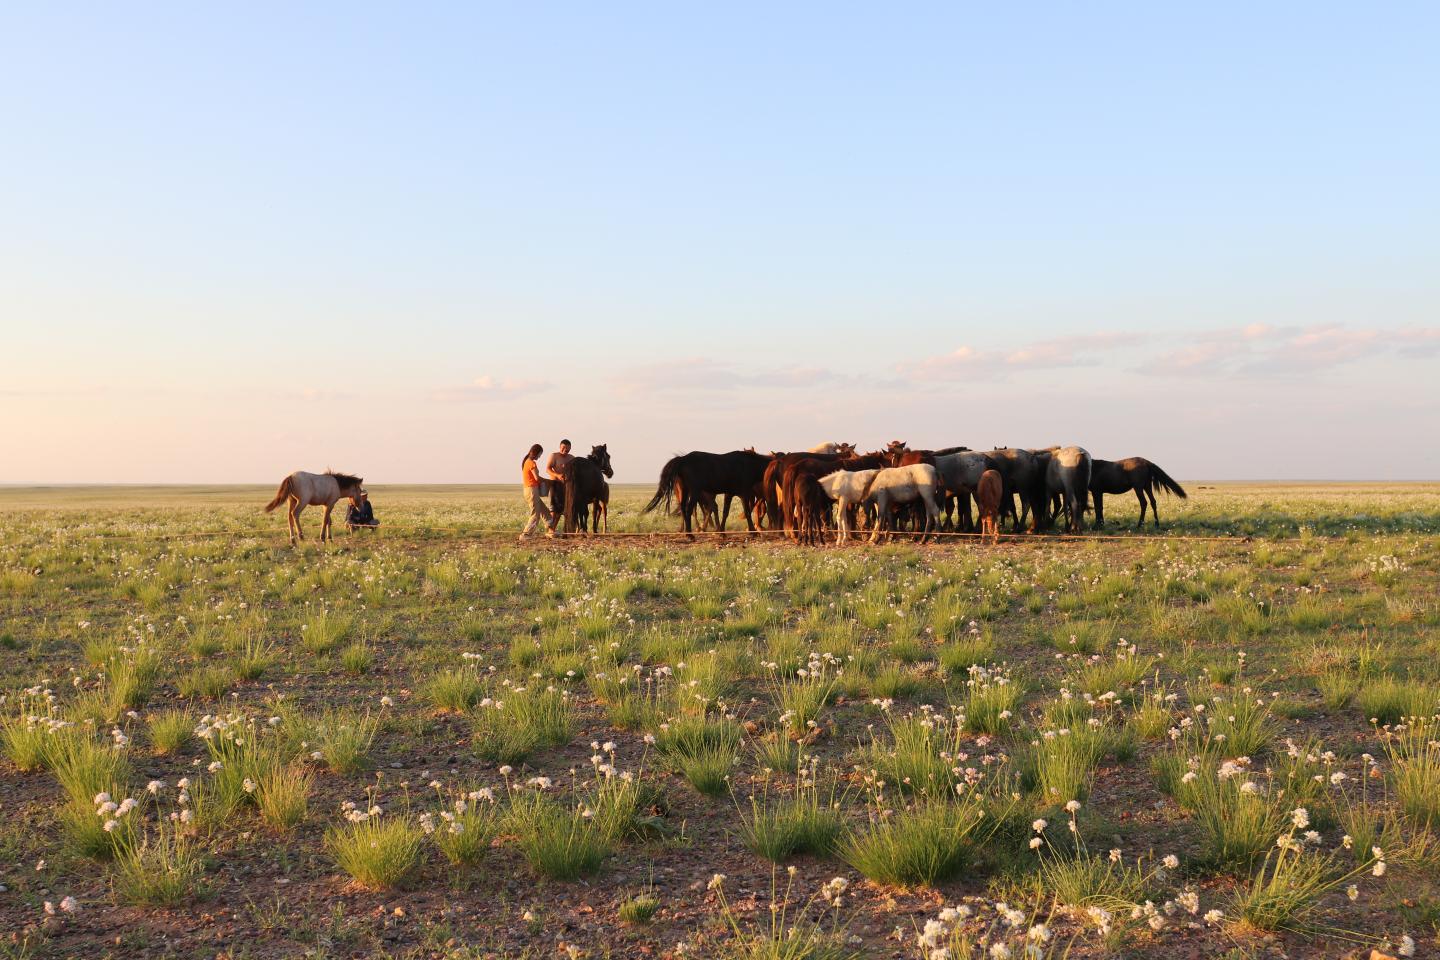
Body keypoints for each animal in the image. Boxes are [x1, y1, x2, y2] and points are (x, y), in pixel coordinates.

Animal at [643, 450, 772, 535]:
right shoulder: (743, 493)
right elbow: (747, 511)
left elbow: (725, 512)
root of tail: (683, 459)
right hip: (694, 492)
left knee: (686, 509)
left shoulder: (730, 494)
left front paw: (722, 531)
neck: (748, 465)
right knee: (690, 510)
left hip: (686, 492)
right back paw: (690, 534)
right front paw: (752, 531)